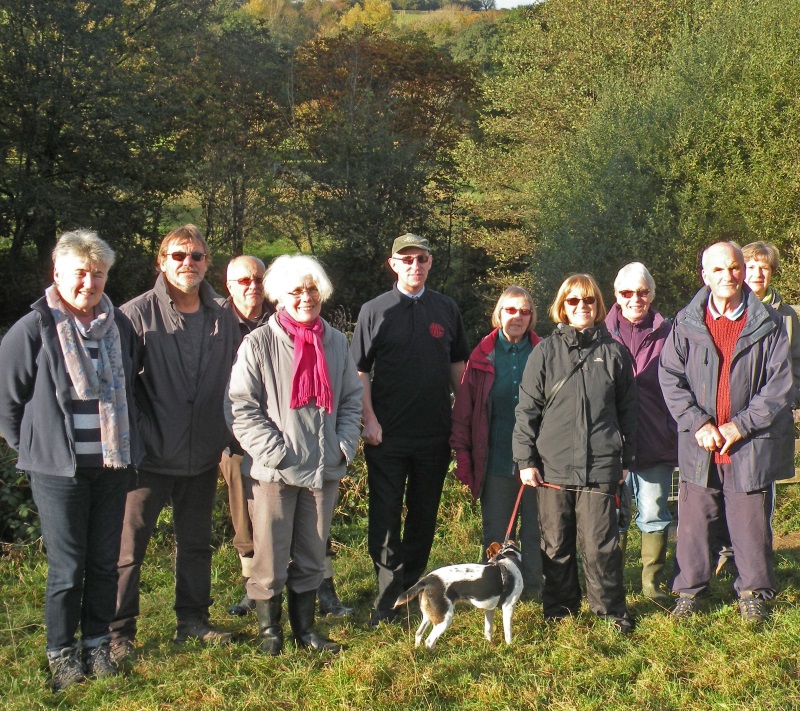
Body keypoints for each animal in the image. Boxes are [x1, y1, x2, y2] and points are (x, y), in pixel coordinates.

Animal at [394, 540, 524, 652]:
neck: (509, 559)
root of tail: (426, 580)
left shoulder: (489, 609)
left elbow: (488, 630)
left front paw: (489, 645)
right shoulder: (508, 607)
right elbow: (508, 633)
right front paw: (510, 648)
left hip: (429, 616)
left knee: (418, 633)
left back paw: (419, 652)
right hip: (445, 618)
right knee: (429, 641)